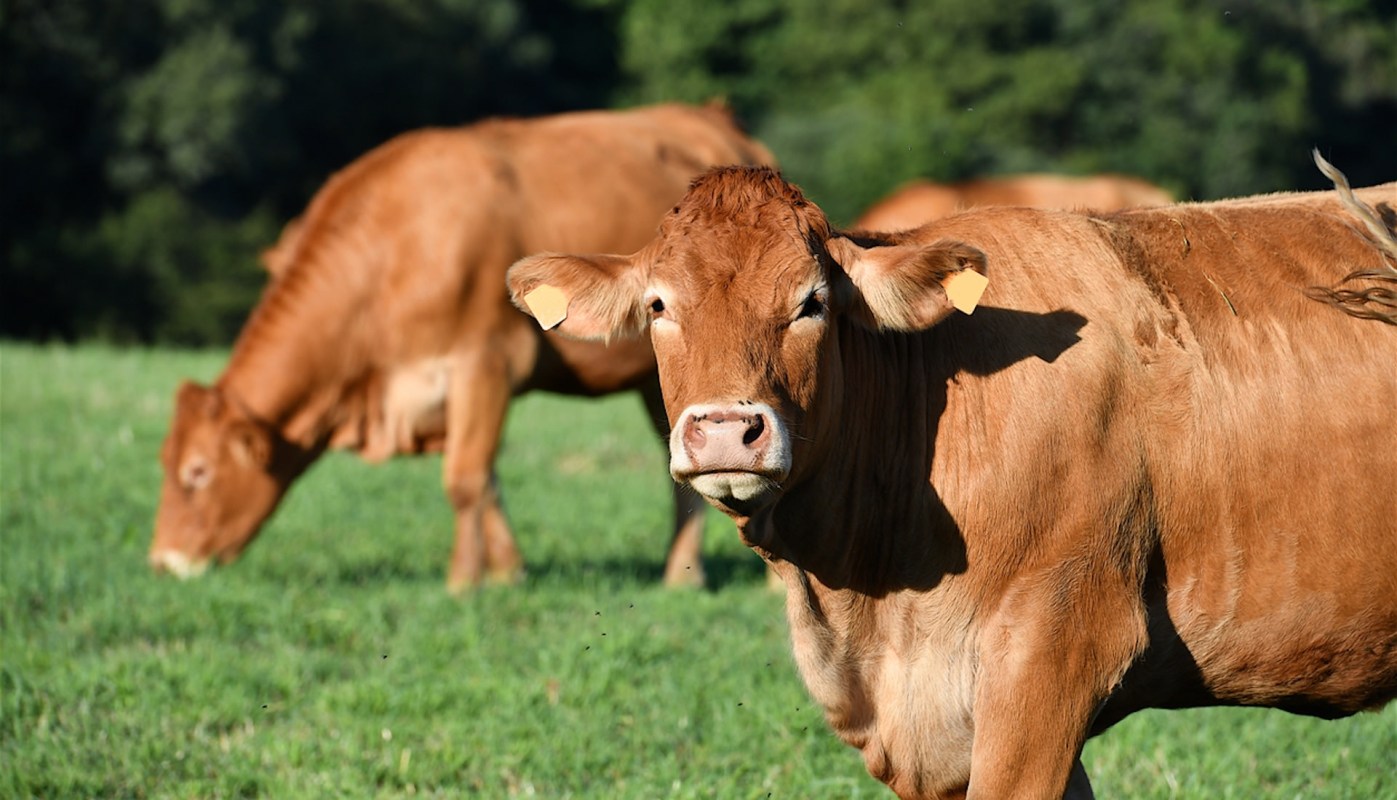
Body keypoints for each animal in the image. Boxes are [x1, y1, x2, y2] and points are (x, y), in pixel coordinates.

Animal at [149, 102, 777, 593]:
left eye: (197, 472)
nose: (162, 562)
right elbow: (488, 479)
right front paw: (507, 572)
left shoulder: (486, 364)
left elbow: (466, 477)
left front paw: (461, 583)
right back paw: (681, 575)